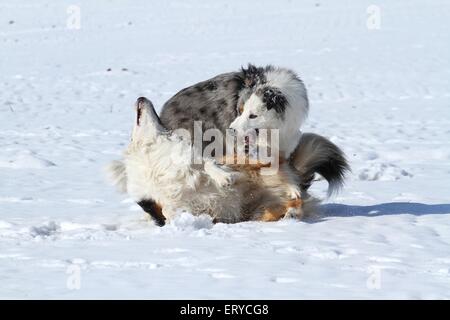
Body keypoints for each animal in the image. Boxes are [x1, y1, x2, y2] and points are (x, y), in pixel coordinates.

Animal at [107, 97, 318, 225]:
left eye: (159, 119)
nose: (141, 98)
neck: (149, 155)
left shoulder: (192, 159)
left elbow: (207, 163)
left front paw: (224, 178)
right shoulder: (150, 201)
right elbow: (167, 212)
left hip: (251, 165)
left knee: (278, 172)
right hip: (261, 211)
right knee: (291, 203)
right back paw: (290, 209)